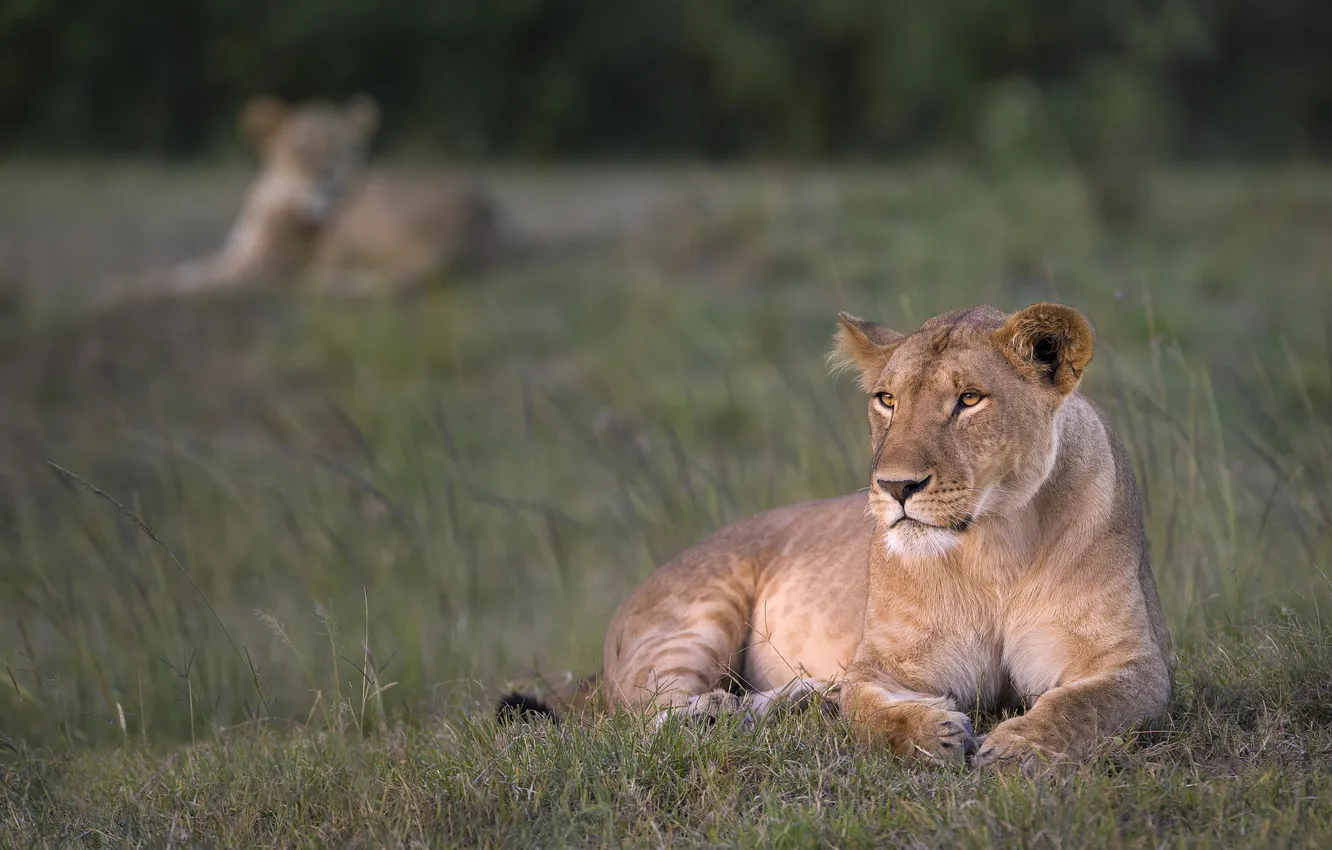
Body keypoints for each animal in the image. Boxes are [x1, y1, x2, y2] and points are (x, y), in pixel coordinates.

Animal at [103, 95, 499, 304]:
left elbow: (174, 285)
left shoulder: (256, 272)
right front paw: (119, 284)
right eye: (300, 149)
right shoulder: (233, 258)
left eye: (344, 148)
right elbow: (178, 270)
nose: (327, 174)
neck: (265, 197)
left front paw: (115, 293)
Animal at [500, 302, 1173, 768]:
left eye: (969, 399)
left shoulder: (1135, 662)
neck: (994, 545)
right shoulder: (886, 664)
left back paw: (793, 699)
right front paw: (933, 733)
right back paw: (723, 712)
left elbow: (1083, 705)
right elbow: (866, 707)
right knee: (640, 718)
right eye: (887, 400)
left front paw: (1018, 747)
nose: (896, 487)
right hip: (694, 618)